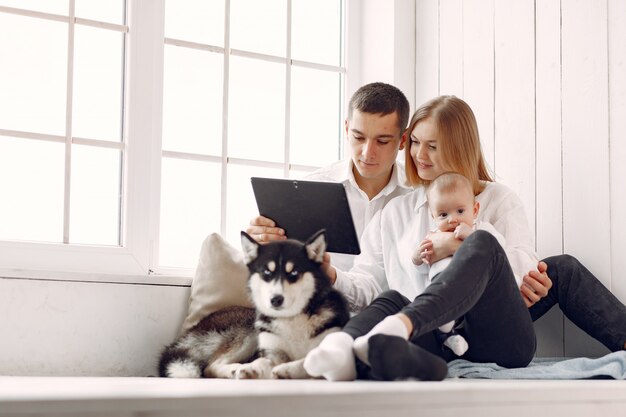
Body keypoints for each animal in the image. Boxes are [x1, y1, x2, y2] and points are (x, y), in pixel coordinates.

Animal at [158, 229, 348, 378]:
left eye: (294, 273)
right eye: (266, 273)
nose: (275, 300)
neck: (292, 319)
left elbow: (309, 361)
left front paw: (287, 370)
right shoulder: (272, 352)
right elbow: (265, 361)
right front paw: (254, 369)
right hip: (249, 331)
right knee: (210, 366)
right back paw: (235, 369)